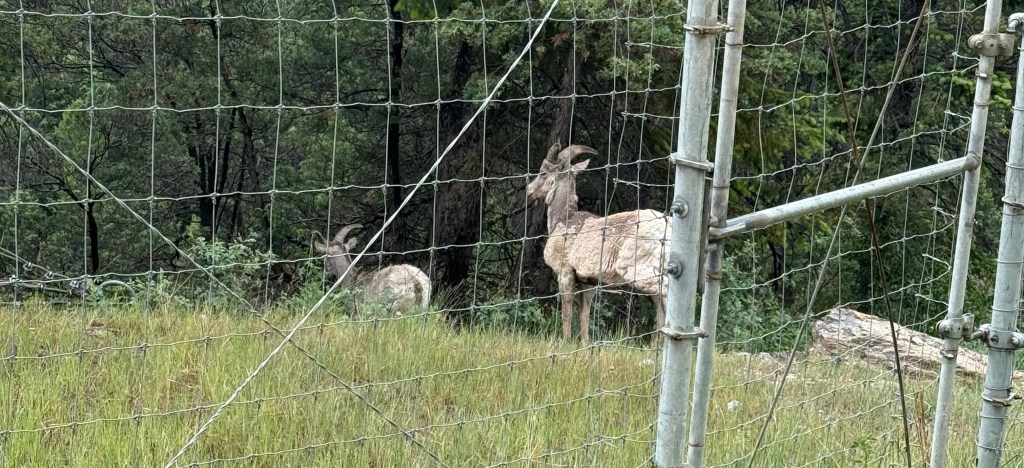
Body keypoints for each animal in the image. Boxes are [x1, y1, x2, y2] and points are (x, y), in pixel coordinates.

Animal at [526, 143, 671, 346]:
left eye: (543, 172)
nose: (529, 190)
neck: (562, 219)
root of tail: (666, 228)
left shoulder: (565, 273)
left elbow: (567, 310)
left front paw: (566, 342)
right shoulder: (588, 283)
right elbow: (584, 313)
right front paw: (585, 344)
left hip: (641, 272)